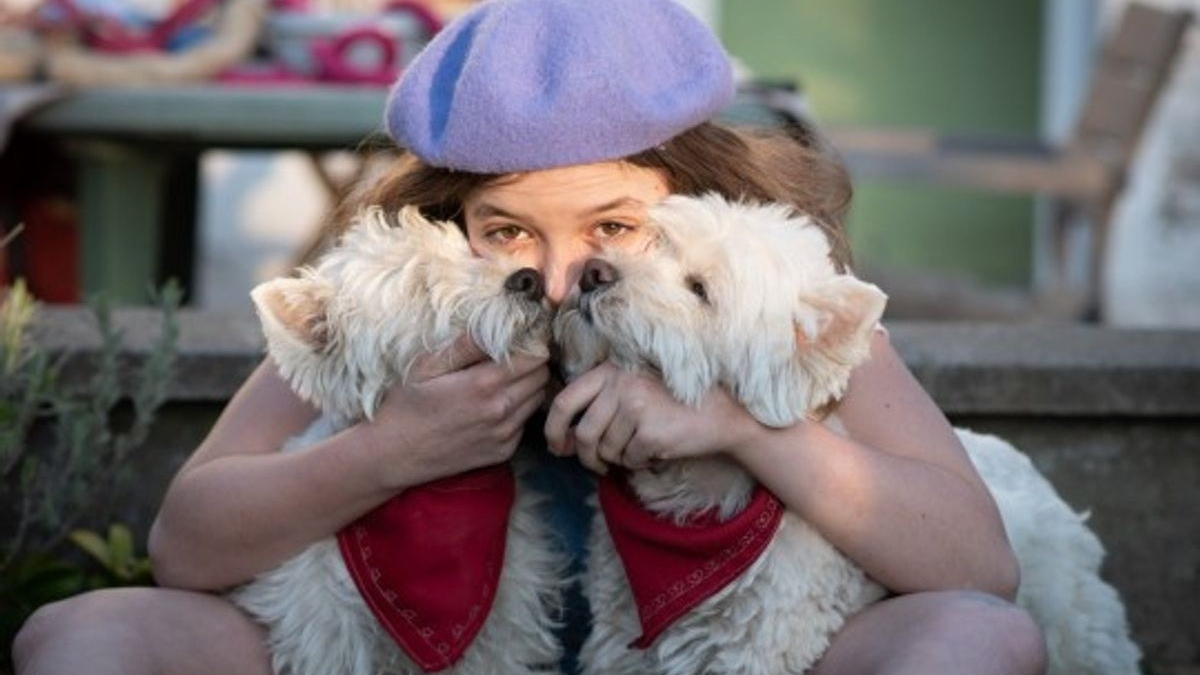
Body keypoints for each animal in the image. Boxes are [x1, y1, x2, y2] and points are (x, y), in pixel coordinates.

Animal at [234, 204, 571, 672]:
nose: (529, 279)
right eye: (421, 288)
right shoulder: (331, 639)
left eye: (467, 252)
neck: (442, 493)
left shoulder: (505, 631)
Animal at [556, 192, 1137, 672]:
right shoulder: (622, 651)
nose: (593, 273)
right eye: (653, 243)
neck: (692, 505)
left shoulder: (750, 655)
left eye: (699, 289)